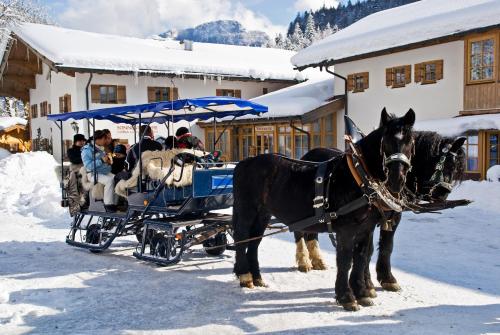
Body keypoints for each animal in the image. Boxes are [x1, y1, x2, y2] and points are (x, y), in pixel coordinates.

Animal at [232, 109, 416, 312]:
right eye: (385, 142)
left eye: (410, 141)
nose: (396, 179)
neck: (358, 178)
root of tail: (244, 163)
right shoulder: (346, 230)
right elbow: (345, 261)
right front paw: (346, 296)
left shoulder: (366, 228)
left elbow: (362, 257)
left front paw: (362, 292)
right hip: (247, 210)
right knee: (242, 238)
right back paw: (245, 275)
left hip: (263, 214)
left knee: (254, 242)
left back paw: (257, 277)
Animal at [294, 131, 466, 294]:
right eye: (446, 165)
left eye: (455, 168)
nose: (443, 194)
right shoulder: (367, 221)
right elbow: (367, 251)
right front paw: (367, 284)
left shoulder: (394, 217)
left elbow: (387, 246)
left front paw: (387, 278)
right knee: (299, 232)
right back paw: (304, 260)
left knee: (311, 233)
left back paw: (317, 259)